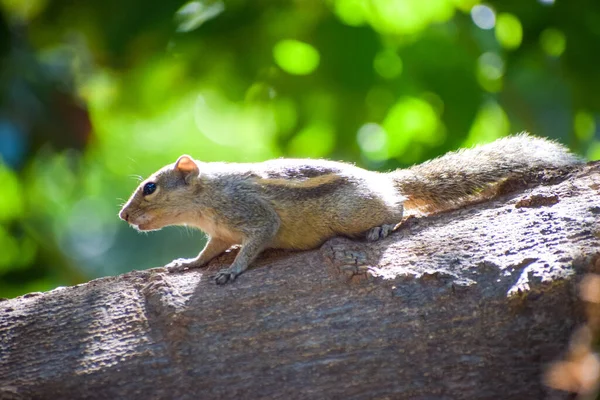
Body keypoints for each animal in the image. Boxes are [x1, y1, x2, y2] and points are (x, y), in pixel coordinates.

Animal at [117, 134, 580, 284]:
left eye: (149, 188)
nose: (123, 215)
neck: (208, 198)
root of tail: (385, 181)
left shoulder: (251, 213)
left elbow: (257, 240)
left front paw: (232, 271)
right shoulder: (218, 233)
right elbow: (206, 253)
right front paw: (186, 264)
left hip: (354, 211)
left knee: (399, 208)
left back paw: (383, 227)